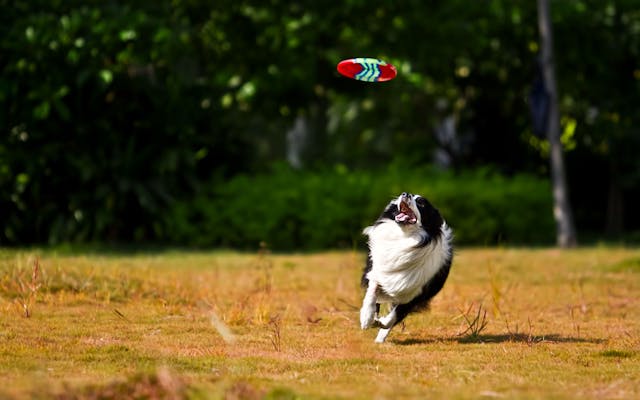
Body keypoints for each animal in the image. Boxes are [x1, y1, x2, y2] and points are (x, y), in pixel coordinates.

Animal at [360, 192, 456, 342]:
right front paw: (366, 318)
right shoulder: (377, 272)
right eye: (403, 196)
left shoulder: (417, 293)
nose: (405, 194)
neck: (405, 237)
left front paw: (380, 323)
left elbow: (394, 317)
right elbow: (372, 293)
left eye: (421, 203)